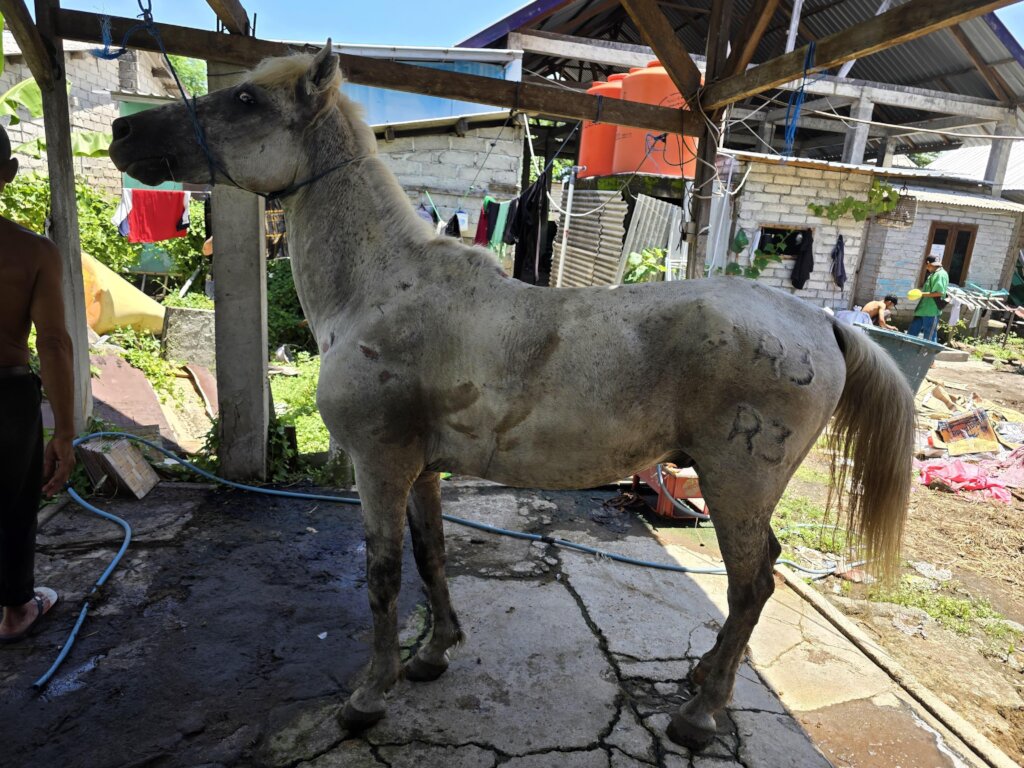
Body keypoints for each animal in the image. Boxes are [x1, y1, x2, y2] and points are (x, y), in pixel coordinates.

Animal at [109, 42, 915, 749]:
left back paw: (699, 714)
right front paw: (434, 654)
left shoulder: (379, 465)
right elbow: (431, 554)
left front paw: (371, 695)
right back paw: (698, 681)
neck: (381, 290)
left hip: (737, 484)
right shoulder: (420, 470)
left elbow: (381, 573)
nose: (122, 133)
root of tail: (817, 322)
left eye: (246, 99)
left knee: (752, 586)